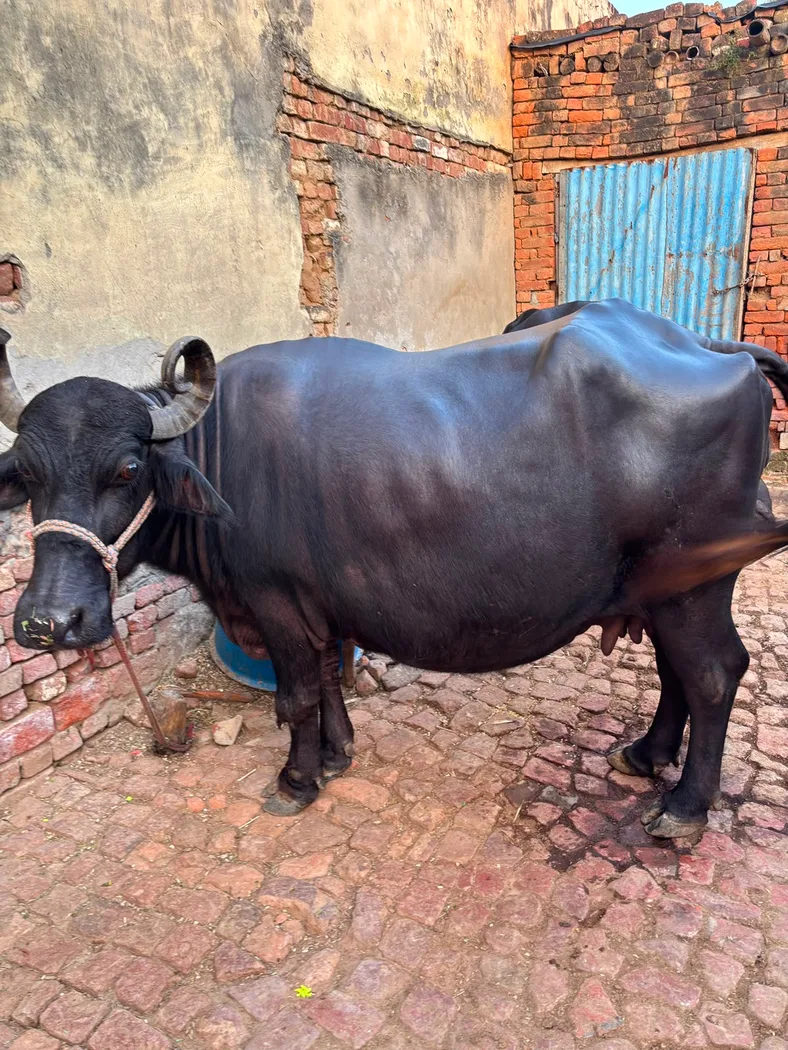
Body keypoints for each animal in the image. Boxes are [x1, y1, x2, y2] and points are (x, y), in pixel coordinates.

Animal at [0, 298, 784, 839]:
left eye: (128, 469)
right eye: (27, 474)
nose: (47, 622)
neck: (218, 451)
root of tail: (710, 347)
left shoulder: (275, 604)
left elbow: (295, 698)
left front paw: (296, 779)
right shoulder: (315, 606)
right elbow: (325, 678)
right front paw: (338, 754)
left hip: (694, 588)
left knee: (714, 675)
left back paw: (683, 807)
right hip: (667, 590)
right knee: (678, 674)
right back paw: (646, 756)